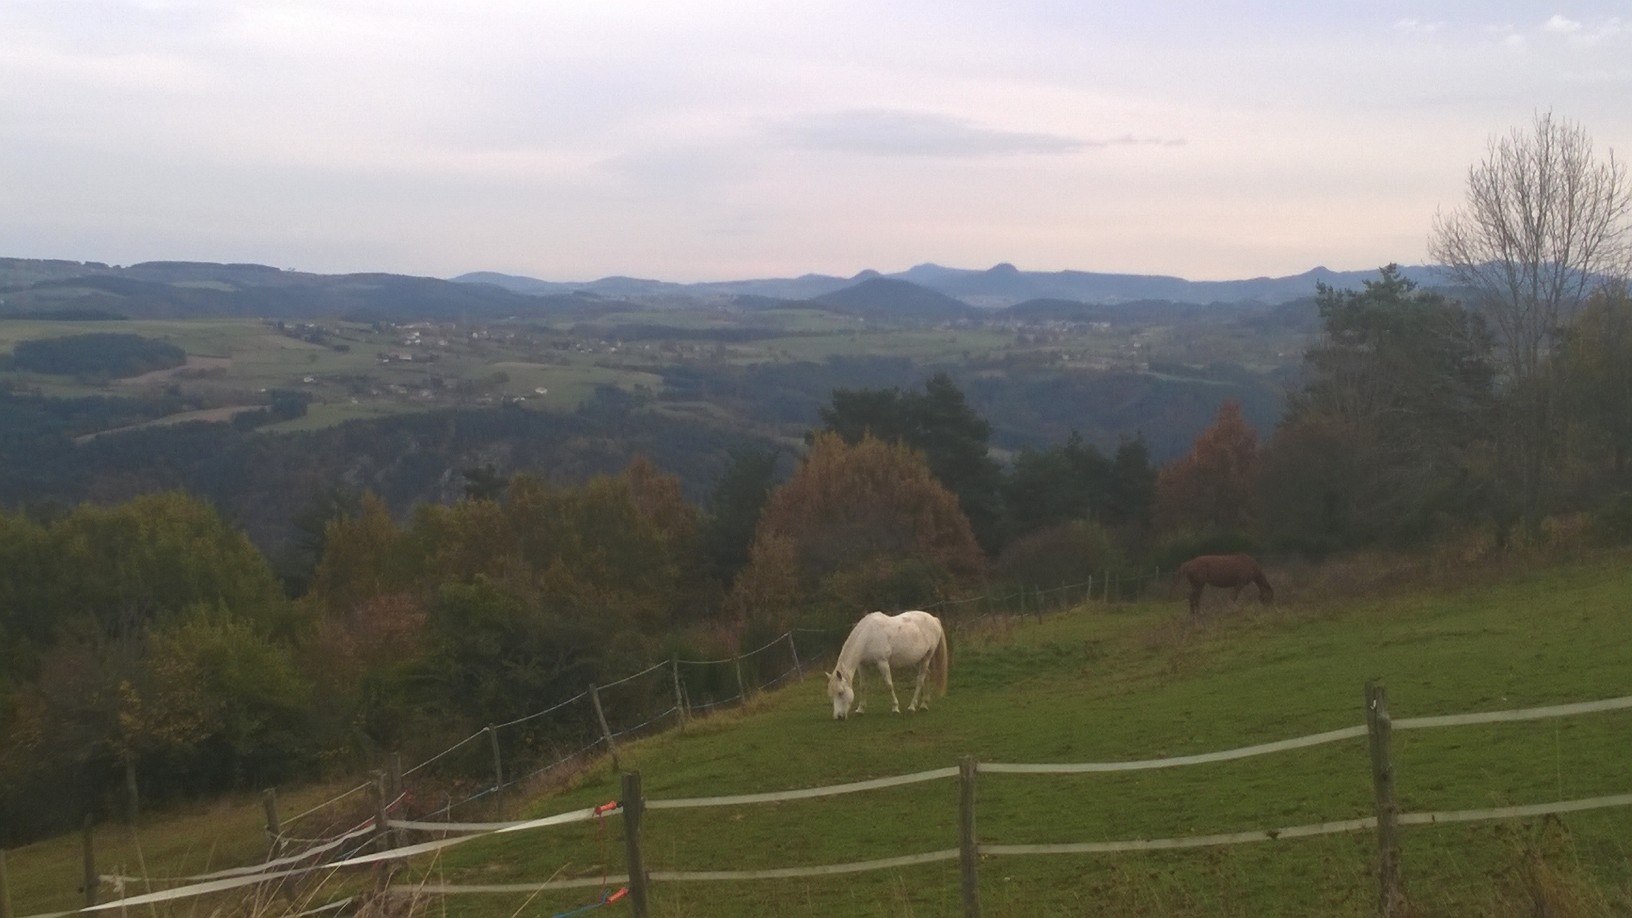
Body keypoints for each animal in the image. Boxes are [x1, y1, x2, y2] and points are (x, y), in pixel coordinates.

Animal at [822, 610, 953, 718]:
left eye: (840, 692)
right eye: (831, 695)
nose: (839, 717)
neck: (868, 636)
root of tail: (934, 619)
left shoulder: (883, 662)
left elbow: (889, 684)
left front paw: (895, 708)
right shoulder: (862, 666)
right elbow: (863, 686)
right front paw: (860, 709)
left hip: (927, 657)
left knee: (920, 680)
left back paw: (912, 707)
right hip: (917, 660)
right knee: (927, 675)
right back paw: (924, 705)